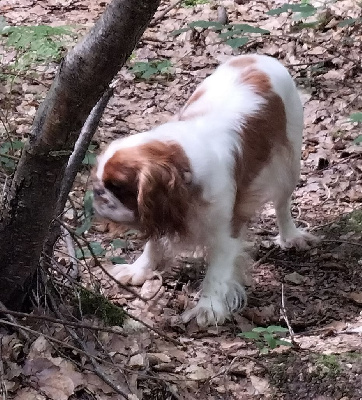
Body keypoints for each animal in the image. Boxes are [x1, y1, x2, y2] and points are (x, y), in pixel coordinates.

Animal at [93, 54, 316, 326]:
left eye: (117, 187)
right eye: (98, 181)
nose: (97, 193)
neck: (185, 167)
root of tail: (257, 56)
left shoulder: (226, 231)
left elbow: (217, 274)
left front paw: (207, 308)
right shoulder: (163, 210)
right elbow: (154, 242)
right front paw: (139, 269)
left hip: (289, 163)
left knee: (282, 203)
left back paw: (290, 236)